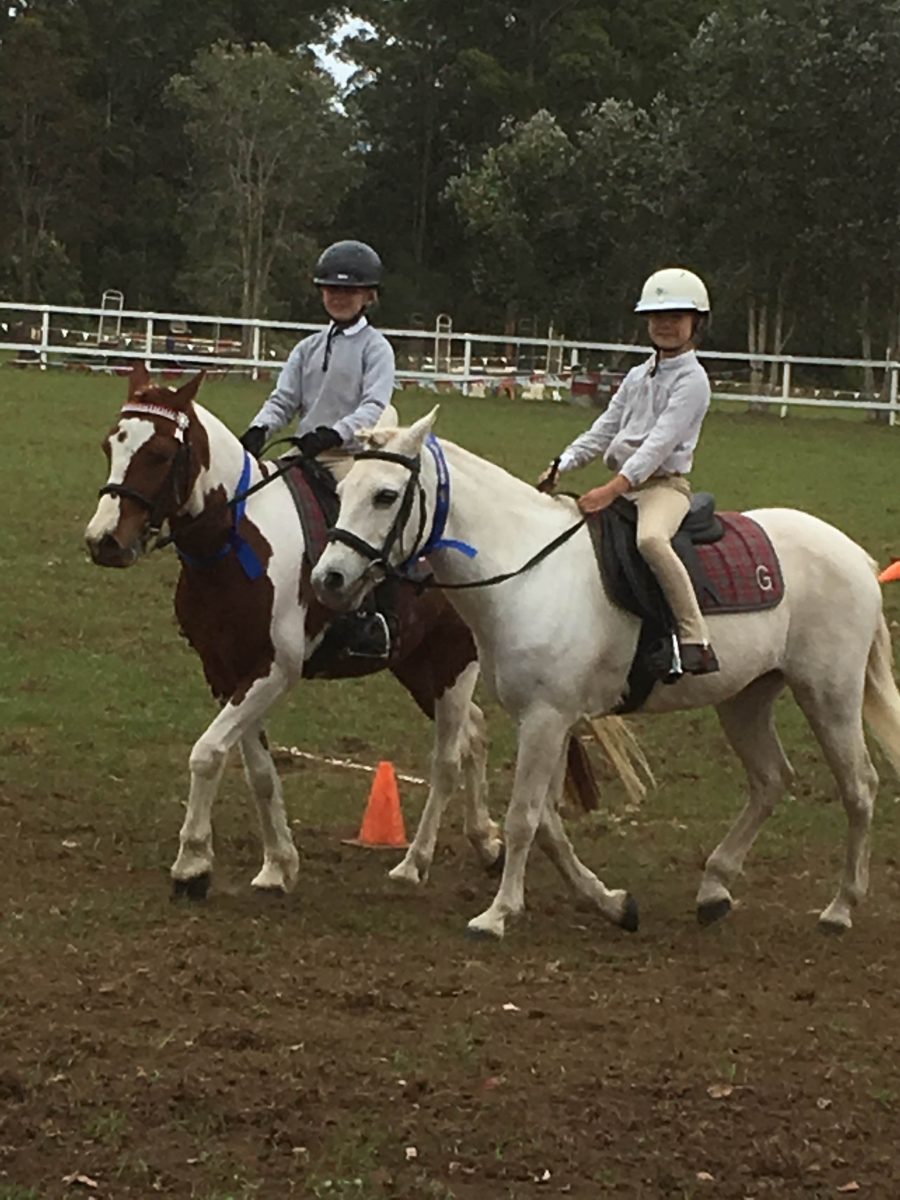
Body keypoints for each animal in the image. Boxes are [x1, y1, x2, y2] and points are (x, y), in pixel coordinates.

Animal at [83, 367, 631, 899]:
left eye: (158, 453)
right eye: (111, 445)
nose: (103, 541)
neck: (235, 543)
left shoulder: (272, 671)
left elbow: (207, 753)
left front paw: (193, 864)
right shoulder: (225, 672)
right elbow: (258, 771)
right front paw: (277, 864)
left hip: (452, 665)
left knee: (452, 755)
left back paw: (425, 859)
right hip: (418, 667)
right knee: (474, 734)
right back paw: (486, 841)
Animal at [310, 407, 900, 939]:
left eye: (386, 495)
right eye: (344, 489)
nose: (328, 578)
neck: (528, 571)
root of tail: (856, 556)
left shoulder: (546, 718)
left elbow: (524, 818)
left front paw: (496, 915)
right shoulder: (550, 719)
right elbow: (548, 824)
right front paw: (611, 903)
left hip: (829, 697)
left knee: (859, 787)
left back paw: (841, 907)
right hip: (745, 698)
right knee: (772, 779)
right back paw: (714, 888)